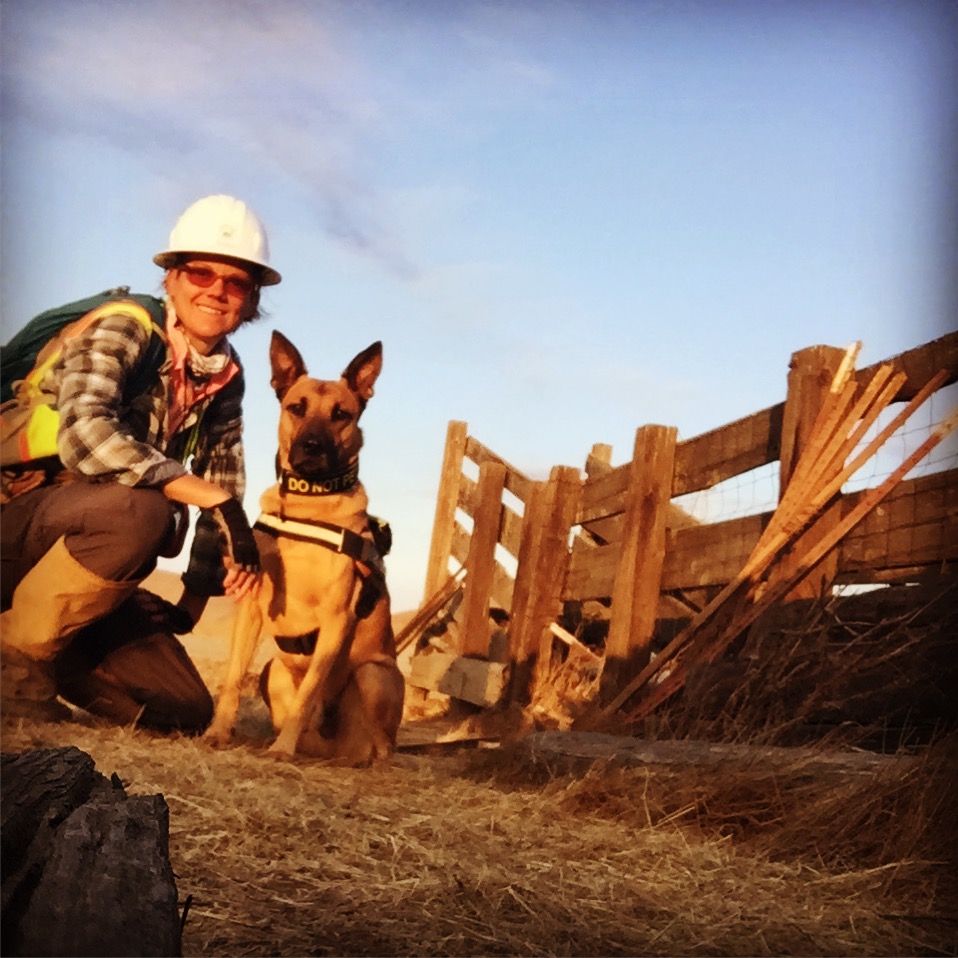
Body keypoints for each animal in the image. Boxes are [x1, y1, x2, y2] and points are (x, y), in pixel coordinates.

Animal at [205, 334, 404, 760]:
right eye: (296, 408)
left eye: (341, 414)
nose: (312, 446)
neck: (308, 503)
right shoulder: (251, 607)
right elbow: (233, 676)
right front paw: (218, 731)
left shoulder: (336, 619)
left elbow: (309, 691)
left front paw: (282, 750)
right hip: (273, 670)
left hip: (373, 674)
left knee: (381, 747)